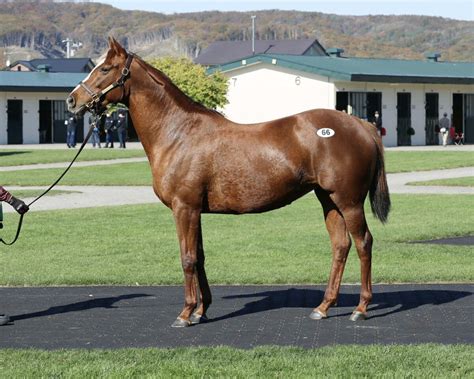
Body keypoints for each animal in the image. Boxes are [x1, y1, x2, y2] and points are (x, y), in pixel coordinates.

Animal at [66, 38, 388, 328]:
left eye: (105, 68)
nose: (72, 100)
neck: (178, 133)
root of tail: (361, 125)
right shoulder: (195, 211)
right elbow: (200, 257)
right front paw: (201, 310)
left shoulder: (184, 208)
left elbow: (187, 258)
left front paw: (185, 314)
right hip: (328, 199)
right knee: (340, 245)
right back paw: (323, 307)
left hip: (349, 201)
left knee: (364, 243)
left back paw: (361, 308)